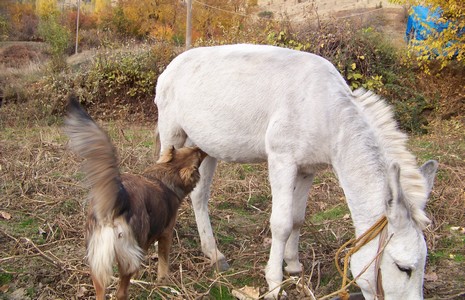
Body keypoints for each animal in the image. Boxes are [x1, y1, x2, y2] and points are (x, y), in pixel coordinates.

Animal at [64, 95, 207, 298]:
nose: (204, 148)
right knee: (120, 293)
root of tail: (118, 202)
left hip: (97, 263)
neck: (165, 176)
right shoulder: (166, 233)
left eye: (193, 149)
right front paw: (163, 280)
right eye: (198, 156)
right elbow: (163, 261)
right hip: (125, 260)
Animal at [154, 43, 436, 298]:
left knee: (199, 196)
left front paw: (293, 265)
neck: (326, 112)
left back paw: (213, 254)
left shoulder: (307, 169)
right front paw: (274, 284)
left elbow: (297, 218)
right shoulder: (282, 161)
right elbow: (281, 223)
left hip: (205, 147)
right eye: (403, 268)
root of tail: (171, 67)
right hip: (172, 135)